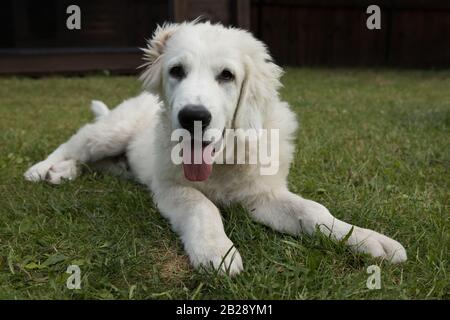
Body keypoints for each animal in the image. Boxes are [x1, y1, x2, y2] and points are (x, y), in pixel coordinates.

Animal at [24, 21, 408, 274]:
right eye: (176, 71)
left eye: (227, 75)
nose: (193, 116)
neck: (223, 158)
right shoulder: (170, 187)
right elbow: (202, 206)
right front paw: (216, 250)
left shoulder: (263, 195)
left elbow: (313, 211)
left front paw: (366, 240)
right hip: (111, 131)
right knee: (76, 143)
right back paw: (45, 168)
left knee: (98, 162)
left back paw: (63, 172)